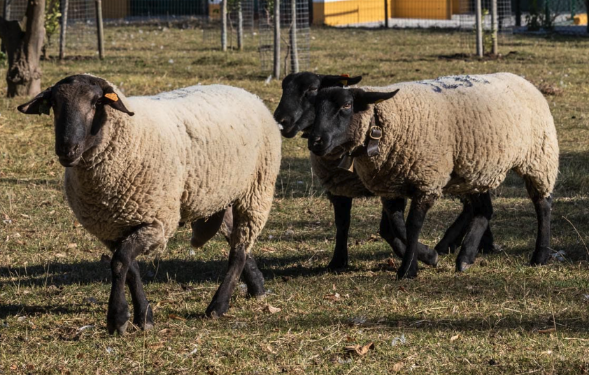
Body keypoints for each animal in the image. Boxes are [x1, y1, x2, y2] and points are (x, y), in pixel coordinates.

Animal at [18, 75, 282, 336]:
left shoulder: (156, 223)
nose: (67, 149)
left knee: (239, 249)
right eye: (54, 104)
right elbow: (130, 268)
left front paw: (118, 318)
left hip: (256, 190)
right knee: (234, 238)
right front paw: (144, 316)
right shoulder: (113, 228)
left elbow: (120, 262)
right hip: (218, 194)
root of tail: (247, 93)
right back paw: (257, 287)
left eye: (96, 102)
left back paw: (218, 305)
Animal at [274, 72, 496, 270]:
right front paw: (338, 261)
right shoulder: (341, 187)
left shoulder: (392, 181)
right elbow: (344, 223)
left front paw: (423, 256)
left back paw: (465, 250)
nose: (280, 120)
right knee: (474, 206)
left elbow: (391, 228)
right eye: (283, 88)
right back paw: (467, 245)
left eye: (311, 89)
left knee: (478, 206)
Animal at [306, 73, 560, 280]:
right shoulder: (391, 186)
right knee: (483, 210)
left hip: (539, 158)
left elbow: (412, 225)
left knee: (543, 205)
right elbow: (397, 227)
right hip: (476, 170)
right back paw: (466, 257)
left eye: (347, 105)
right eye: (315, 108)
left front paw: (408, 270)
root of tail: (522, 80)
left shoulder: (426, 180)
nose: (315, 142)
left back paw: (539, 256)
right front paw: (424, 258)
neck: (383, 123)